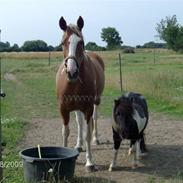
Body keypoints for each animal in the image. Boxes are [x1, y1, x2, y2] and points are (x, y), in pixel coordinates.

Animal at [55, 16, 104, 172]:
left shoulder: (88, 108)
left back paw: (96, 139)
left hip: (96, 102)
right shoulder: (63, 109)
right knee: (79, 122)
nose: (72, 72)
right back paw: (78, 145)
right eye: (63, 43)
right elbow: (66, 131)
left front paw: (89, 162)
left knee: (94, 119)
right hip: (76, 107)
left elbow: (87, 133)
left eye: (81, 42)